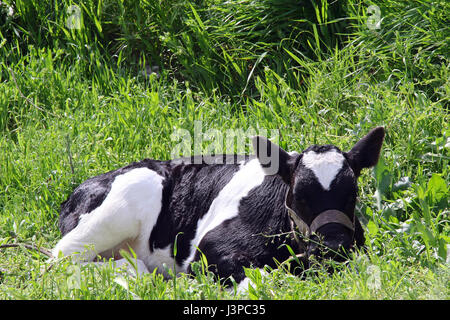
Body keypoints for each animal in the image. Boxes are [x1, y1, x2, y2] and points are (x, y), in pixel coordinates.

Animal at [51, 127, 384, 282]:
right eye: (300, 196)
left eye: (352, 194)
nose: (335, 246)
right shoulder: (208, 251)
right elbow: (260, 281)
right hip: (122, 203)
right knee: (59, 260)